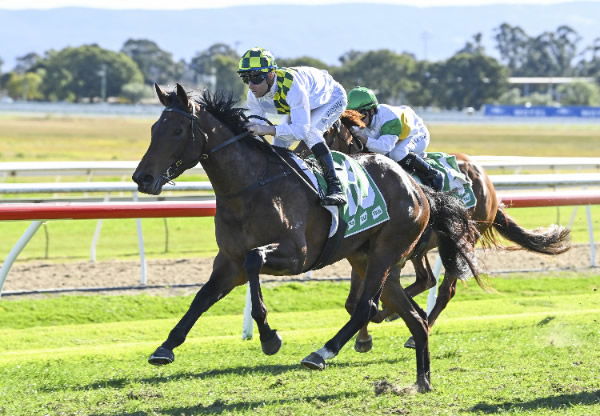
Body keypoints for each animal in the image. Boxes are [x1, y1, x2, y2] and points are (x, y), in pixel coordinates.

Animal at [134, 83, 480, 392]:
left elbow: (254, 261)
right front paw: (166, 346)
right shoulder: (229, 262)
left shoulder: (296, 255)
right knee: (412, 317)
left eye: (177, 130)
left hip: (386, 252)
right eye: (153, 128)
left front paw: (269, 337)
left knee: (367, 305)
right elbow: (202, 297)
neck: (250, 187)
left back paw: (322, 352)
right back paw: (422, 381)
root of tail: (419, 188)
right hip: (369, 259)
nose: (142, 178)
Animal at [324, 109, 572, 352]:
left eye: (326, 132)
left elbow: (371, 295)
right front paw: (364, 336)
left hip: (462, 239)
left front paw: (377, 323)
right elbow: (354, 301)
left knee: (444, 289)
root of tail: (488, 184)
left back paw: (414, 329)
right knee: (426, 279)